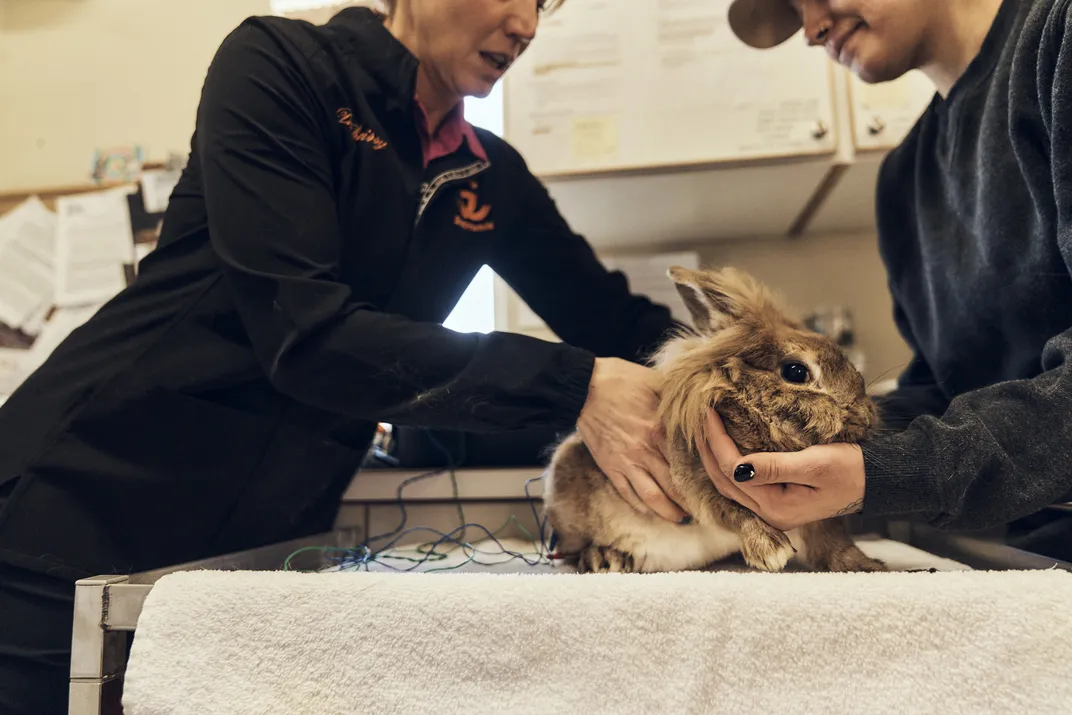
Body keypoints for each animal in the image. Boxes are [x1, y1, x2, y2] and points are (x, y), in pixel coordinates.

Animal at [542, 265, 887, 574]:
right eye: (795, 372)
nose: (865, 416)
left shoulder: (816, 518)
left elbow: (832, 543)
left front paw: (867, 566)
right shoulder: (699, 481)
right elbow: (731, 509)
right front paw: (770, 550)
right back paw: (605, 558)